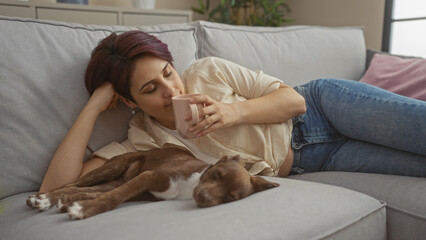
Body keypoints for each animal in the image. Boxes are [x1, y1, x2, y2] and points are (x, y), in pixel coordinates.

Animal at [26, 143, 280, 220]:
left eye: (229, 198)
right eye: (217, 174)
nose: (203, 197)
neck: (189, 186)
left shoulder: (143, 191)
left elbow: (106, 196)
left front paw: (78, 206)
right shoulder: (149, 177)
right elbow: (111, 199)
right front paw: (84, 211)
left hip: (117, 179)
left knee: (86, 189)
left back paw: (61, 202)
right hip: (111, 168)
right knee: (70, 185)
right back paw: (43, 198)